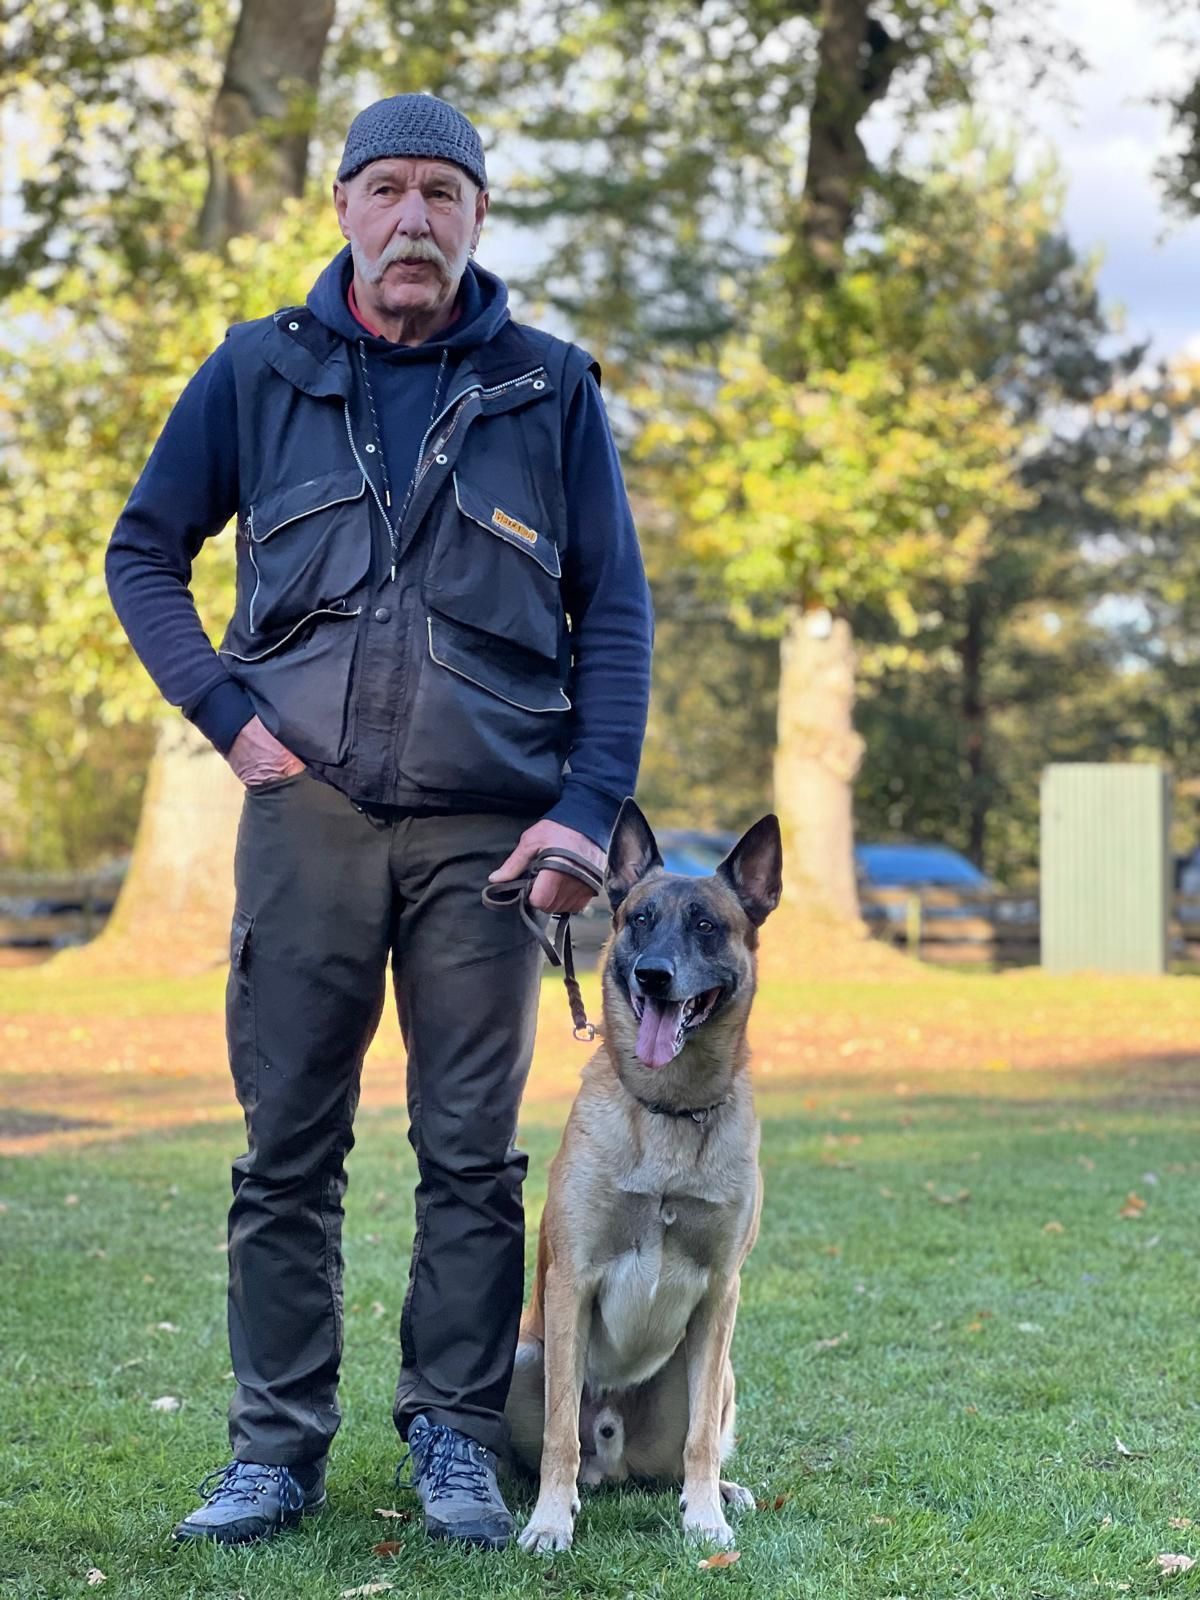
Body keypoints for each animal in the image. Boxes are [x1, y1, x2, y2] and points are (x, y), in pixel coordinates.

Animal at [505, 799, 783, 1552]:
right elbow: (558, 1437)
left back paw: (719, 1490)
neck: (670, 1108)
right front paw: (548, 1521)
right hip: (524, 1359)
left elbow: (701, 1441)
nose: (653, 976)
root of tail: (615, 1455)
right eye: (638, 919)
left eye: (707, 925)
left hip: (717, 1375)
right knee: (560, 1443)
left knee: (688, 1450)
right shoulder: (572, 1280)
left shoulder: (721, 1294)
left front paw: (706, 1517)